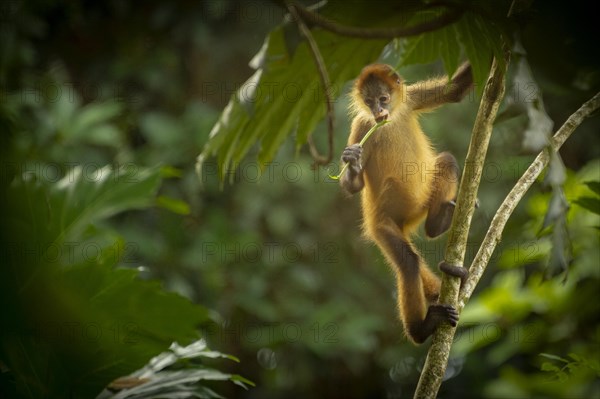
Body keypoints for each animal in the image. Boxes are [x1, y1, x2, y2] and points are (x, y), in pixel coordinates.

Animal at [342, 62, 474, 344]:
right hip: (382, 225)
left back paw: (438, 223)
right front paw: (353, 162)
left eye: (383, 99)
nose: (378, 111)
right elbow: (353, 187)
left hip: (424, 200)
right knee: (409, 264)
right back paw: (421, 330)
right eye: (369, 102)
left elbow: (456, 90)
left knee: (447, 160)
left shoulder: (410, 99)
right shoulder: (362, 124)